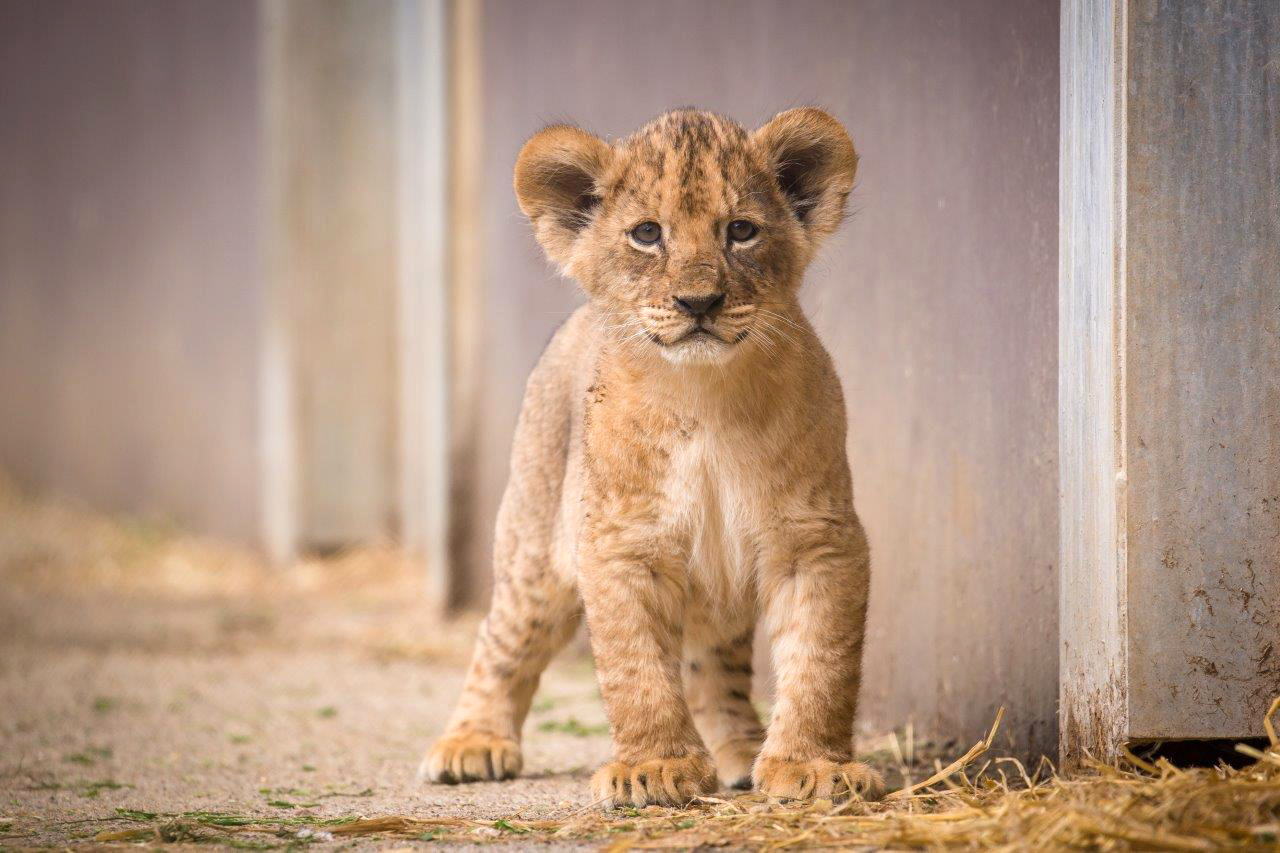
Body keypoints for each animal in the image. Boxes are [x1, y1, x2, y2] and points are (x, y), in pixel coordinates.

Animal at [422, 108, 883, 808]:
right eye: (646, 234)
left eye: (740, 230)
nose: (700, 302)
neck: (707, 396)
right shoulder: (620, 542)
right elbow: (635, 669)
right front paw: (656, 767)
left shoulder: (819, 539)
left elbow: (821, 663)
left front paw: (812, 766)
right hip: (534, 553)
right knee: (501, 643)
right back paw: (471, 743)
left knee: (714, 668)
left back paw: (742, 752)